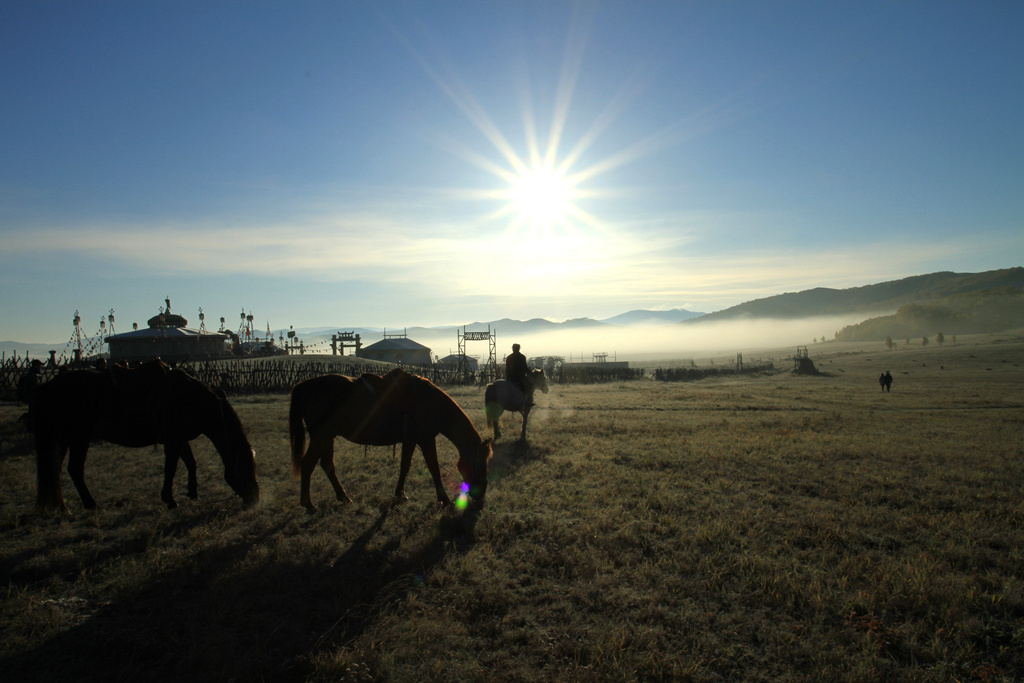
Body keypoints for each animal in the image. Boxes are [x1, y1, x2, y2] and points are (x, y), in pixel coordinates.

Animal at [30, 362, 260, 511]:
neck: (193, 400)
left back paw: (62, 508)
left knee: (55, 469)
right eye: (244, 468)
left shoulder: (179, 438)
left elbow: (191, 463)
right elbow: (171, 468)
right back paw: (90, 504)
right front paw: (170, 500)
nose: (255, 499)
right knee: (74, 469)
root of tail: (48, 386)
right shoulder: (173, 440)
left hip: (64, 438)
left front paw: (193, 492)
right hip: (79, 437)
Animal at [290, 368, 493, 511]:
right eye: (479, 463)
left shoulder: (411, 440)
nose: (481, 495)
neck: (428, 402)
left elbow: (405, 466)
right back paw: (309, 504)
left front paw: (400, 494)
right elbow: (434, 468)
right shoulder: (425, 439)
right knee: (308, 464)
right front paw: (443, 499)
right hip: (321, 436)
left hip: (327, 437)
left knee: (327, 465)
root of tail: (302, 386)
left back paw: (343, 497)